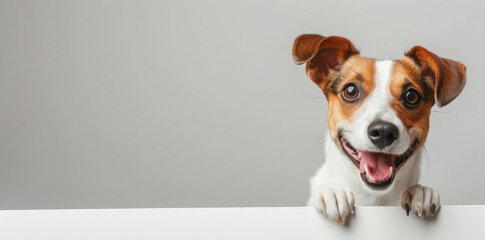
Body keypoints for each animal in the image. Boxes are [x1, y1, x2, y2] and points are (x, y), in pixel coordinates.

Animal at [292, 34, 466, 225]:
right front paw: (331, 191)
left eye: (411, 96)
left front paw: (420, 191)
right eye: (350, 91)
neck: (374, 200)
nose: (383, 132)